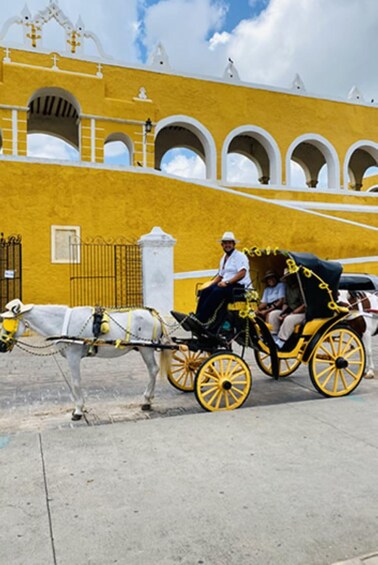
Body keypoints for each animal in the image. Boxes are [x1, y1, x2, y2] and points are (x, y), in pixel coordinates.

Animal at [0, 298, 171, 416]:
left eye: (7, 323)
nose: (1, 346)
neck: (62, 323)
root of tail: (154, 315)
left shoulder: (73, 355)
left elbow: (75, 382)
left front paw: (78, 410)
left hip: (145, 348)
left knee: (153, 370)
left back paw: (147, 400)